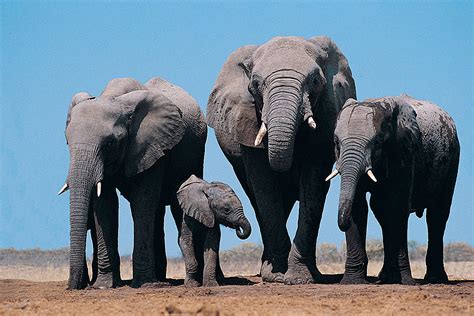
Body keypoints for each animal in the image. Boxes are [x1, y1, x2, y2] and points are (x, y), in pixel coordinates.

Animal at [59, 76, 207, 288]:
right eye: (67, 142)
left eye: (109, 143)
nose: (75, 287)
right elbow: (105, 205)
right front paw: (104, 285)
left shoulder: (152, 145)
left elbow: (141, 201)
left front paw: (144, 284)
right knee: (157, 211)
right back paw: (160, 278)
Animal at [207, 36, 356, 284]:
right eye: (255, 84)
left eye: (315, 81)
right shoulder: (247, 119)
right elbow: (264, 185)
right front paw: (276, 276)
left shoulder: (328, 114)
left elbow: (313, 184)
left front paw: (301, 278)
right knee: (257, 197)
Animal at [326, 95, 460, 286]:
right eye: (337, 142)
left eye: (376, 142)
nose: (340, 225)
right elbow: (358, 207)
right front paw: (352, 282)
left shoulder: (404, 151)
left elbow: (397, 206)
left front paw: (406, 282)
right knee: (380, 211)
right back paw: (386, 277)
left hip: (452, 159)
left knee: (437, 214)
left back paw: (435, 279)